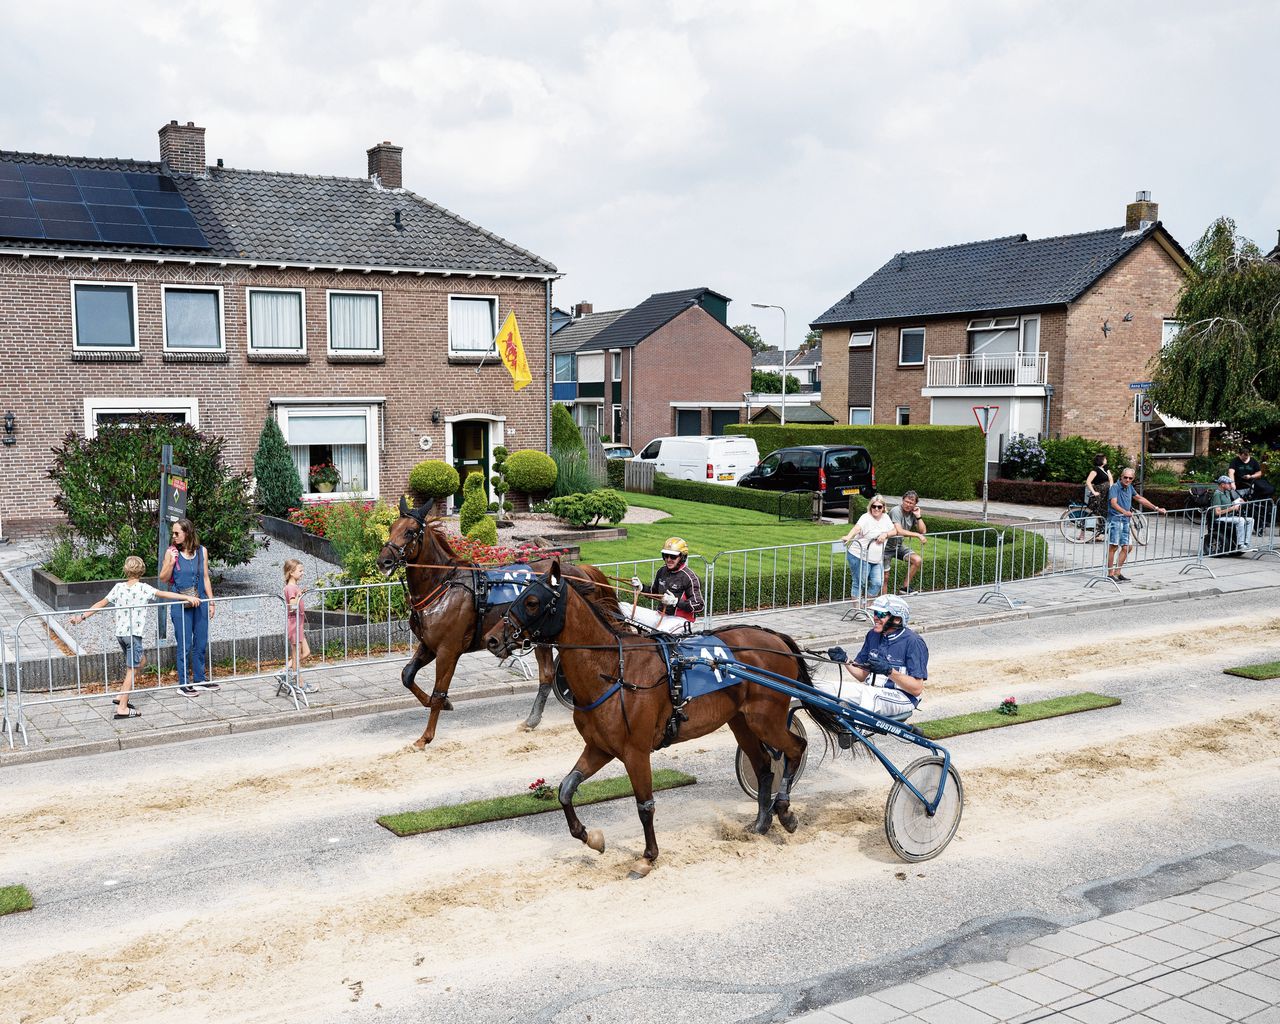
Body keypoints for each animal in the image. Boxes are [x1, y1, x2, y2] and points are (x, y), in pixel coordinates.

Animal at [376, 499, 622, 747]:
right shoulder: (429, 644)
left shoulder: (448, 650)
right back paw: (531, 720)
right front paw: (444, 704)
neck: (443, 585)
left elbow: (439, 691)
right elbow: (407, 675)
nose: (383, 561)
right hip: (542, 636)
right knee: (547, 675)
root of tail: (581, 570)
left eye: (409, 531)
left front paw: (426, 737)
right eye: (391, 528)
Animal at [481, 555, 829, 875]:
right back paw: (760, 824)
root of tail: (776, 638)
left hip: (765, 718)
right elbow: (566, 789)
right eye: (519, 597)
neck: (614, 672)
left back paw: (785, 813)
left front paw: (647, 857)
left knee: (794, 748)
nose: (492, 639)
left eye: (532, 601)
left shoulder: (635, 751)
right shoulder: (599, 747)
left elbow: (644, 805)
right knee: (764, 766)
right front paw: (592, 838)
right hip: (741, 721)